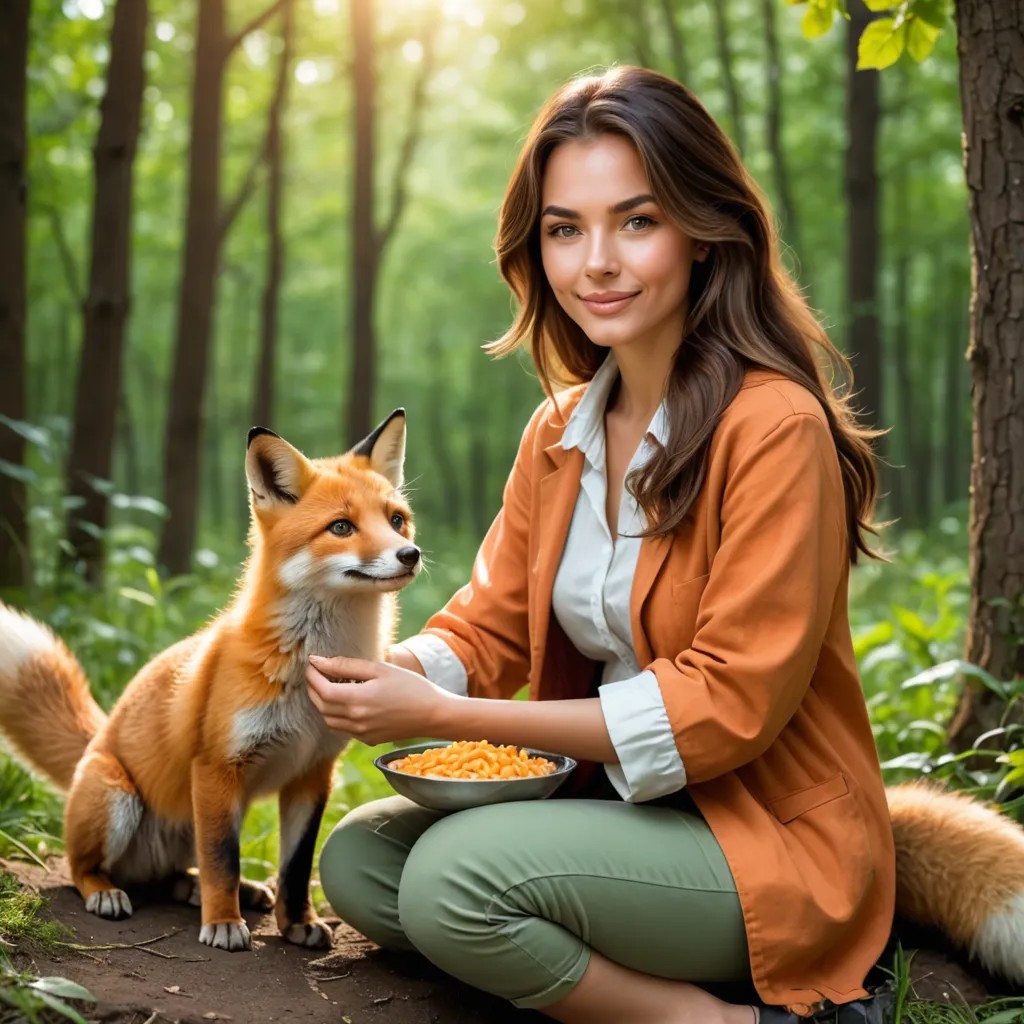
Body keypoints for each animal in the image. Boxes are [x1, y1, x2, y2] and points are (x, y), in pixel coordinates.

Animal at [0, 410, 420, 952]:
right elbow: (223, 857)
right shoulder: (217, 766)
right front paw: (223, 923)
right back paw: (109, 892)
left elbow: (295, 866)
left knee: (176, 876)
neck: (306, 666)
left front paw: (297, 922)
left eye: (396, 520)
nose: (410, 554)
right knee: (83, 867)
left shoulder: (312, 773)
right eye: (342, 527)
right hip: (117, 798)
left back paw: (221, 890)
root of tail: (94, 742)